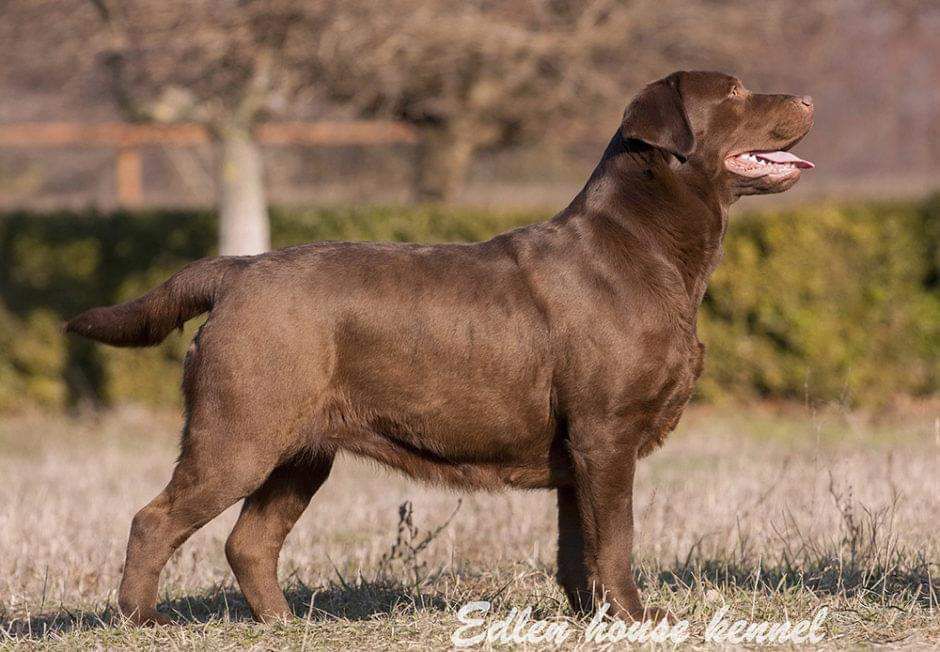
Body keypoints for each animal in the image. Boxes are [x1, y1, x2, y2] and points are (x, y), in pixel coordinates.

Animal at [68, 71, 816, 628]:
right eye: (735, 92)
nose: (809, 100)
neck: (644, 248)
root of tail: (238, 271)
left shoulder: (579, 451)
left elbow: (578, 545)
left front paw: (591, 618)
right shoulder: (606, 435)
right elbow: (617, 537)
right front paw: (637, 618)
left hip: (300, 452)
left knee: (249, 541)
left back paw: (283, 624)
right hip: (237, 434)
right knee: (154, 519)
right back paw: (140, 620)